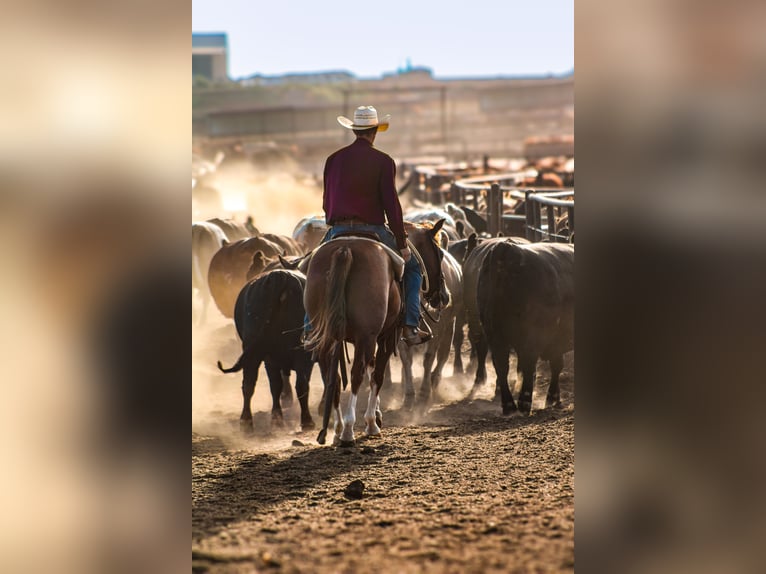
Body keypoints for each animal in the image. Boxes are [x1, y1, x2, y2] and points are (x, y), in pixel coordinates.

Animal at [216, 272, 316, 434]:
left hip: (254, 351)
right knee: (301, 384)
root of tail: (280, 276)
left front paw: (276, 420)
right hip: (299, 352)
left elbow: (275, 386)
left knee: (249, 384)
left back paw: (246, 422)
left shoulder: (270, 358)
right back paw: (307, 421)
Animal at [304, 218, 450, 448]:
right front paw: (372, 422)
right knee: (356, 374)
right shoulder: (385, 336)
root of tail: (345, 249)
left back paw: (336, 430)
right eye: (440, 253)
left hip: (329, 337)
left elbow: (370, 369)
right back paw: (348, 430)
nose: (444, 296)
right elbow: (378, 375)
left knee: (332, 377)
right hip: (367, 336)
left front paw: (376, 415)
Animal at [476, 242, 572, 414]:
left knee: (501, 365)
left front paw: (554, 397)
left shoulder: (556, 342)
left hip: (494, 333)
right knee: (528, 363)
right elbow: (556, 366)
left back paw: (508, 405)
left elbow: (556, 364)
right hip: (533, 333)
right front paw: (552, 398)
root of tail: (506, 247)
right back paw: (525, 402)